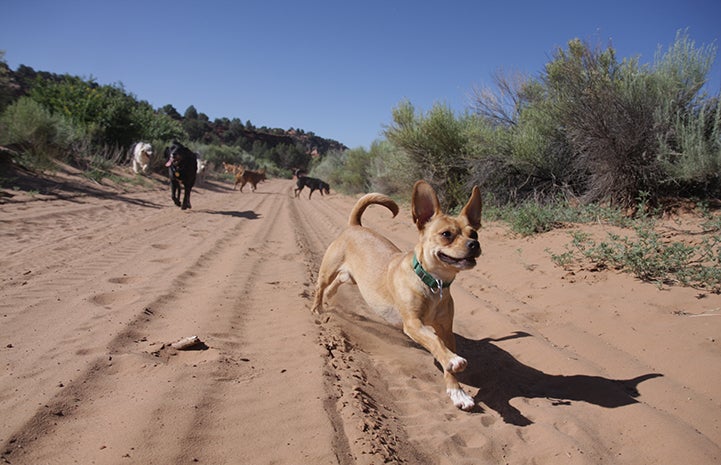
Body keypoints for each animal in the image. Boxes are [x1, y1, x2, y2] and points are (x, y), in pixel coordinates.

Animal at [312, 179, 480, 408]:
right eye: (447, 234)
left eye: (475, 234)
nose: (474, 244)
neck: (434, 283)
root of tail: (355, 226)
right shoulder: (413, 324)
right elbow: (434, 342)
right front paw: (453, 360)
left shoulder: (446, 329)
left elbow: (444, 355)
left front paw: (457, 392)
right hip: (328, 270)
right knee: (320, 287)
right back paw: (317, 309)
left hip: (351, 278)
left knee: (336, 284)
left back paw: (330, 298)